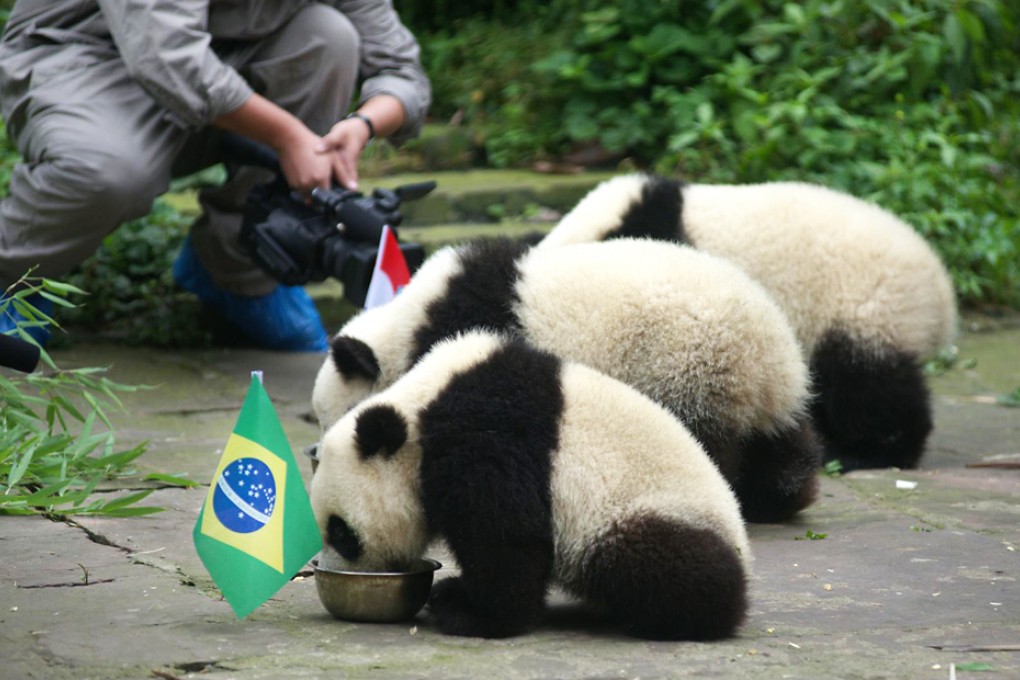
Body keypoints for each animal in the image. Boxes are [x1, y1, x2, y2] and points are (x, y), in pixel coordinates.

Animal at [311, 330, 752, 640]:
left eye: (342, 532)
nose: (331, 569)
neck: (419, 408)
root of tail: (739, 536)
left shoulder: (486, 439)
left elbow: (503, 537)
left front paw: (469, 612)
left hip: (649, 512)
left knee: (667, 565)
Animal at [313, 237, 822, 522]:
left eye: (337, 414)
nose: (314, 452)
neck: (406, 324)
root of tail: (770, 353)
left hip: (686, 365)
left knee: (706, 438)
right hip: (755, 391)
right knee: (781, 440)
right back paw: (781, 496)